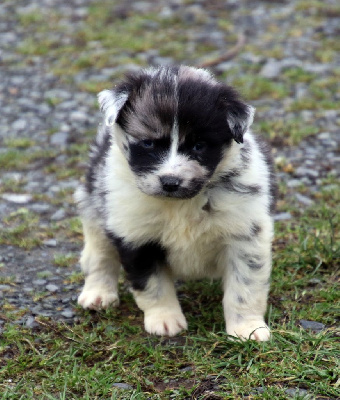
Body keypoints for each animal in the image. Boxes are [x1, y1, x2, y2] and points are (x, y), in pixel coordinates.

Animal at [75, 65, 276, 340]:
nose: (170, 182)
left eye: (199, 145)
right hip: (95, 209)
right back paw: (98, 294)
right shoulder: (135, 235)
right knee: (99, 254)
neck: (180, 204)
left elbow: (245, 285)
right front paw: (165, 320)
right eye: (148, 143)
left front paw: (248, 329)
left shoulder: (245, 233)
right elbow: (153, 284)